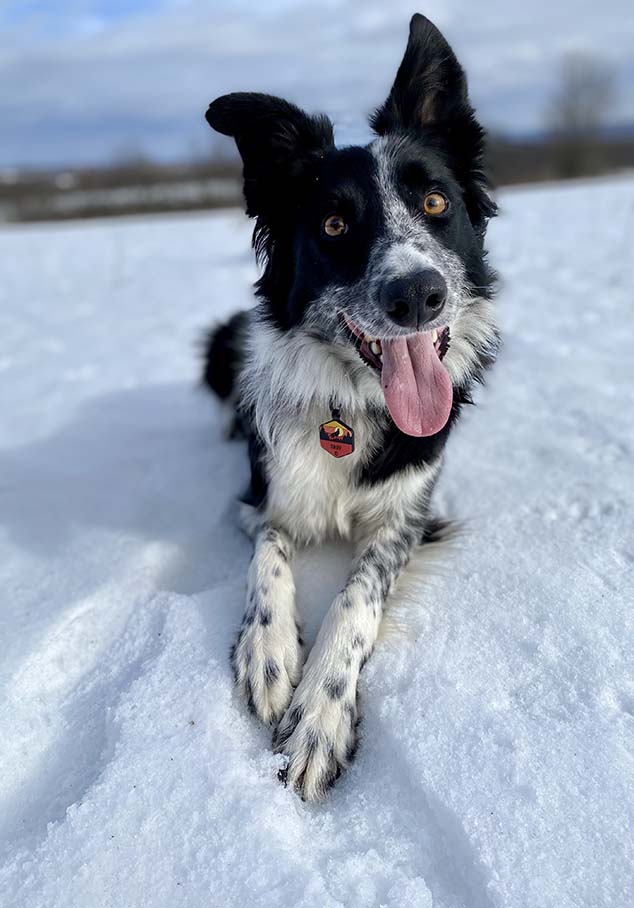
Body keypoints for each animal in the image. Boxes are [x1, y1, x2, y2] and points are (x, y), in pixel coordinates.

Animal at [202, 12, 498, 796]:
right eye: (334, 226)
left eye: (435, 204)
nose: (416, 294)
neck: (353, 405)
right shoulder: (261, 497)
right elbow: (270, 556)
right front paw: (268, 655)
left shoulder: (409, 517)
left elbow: (358, 595)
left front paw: (319, 716)